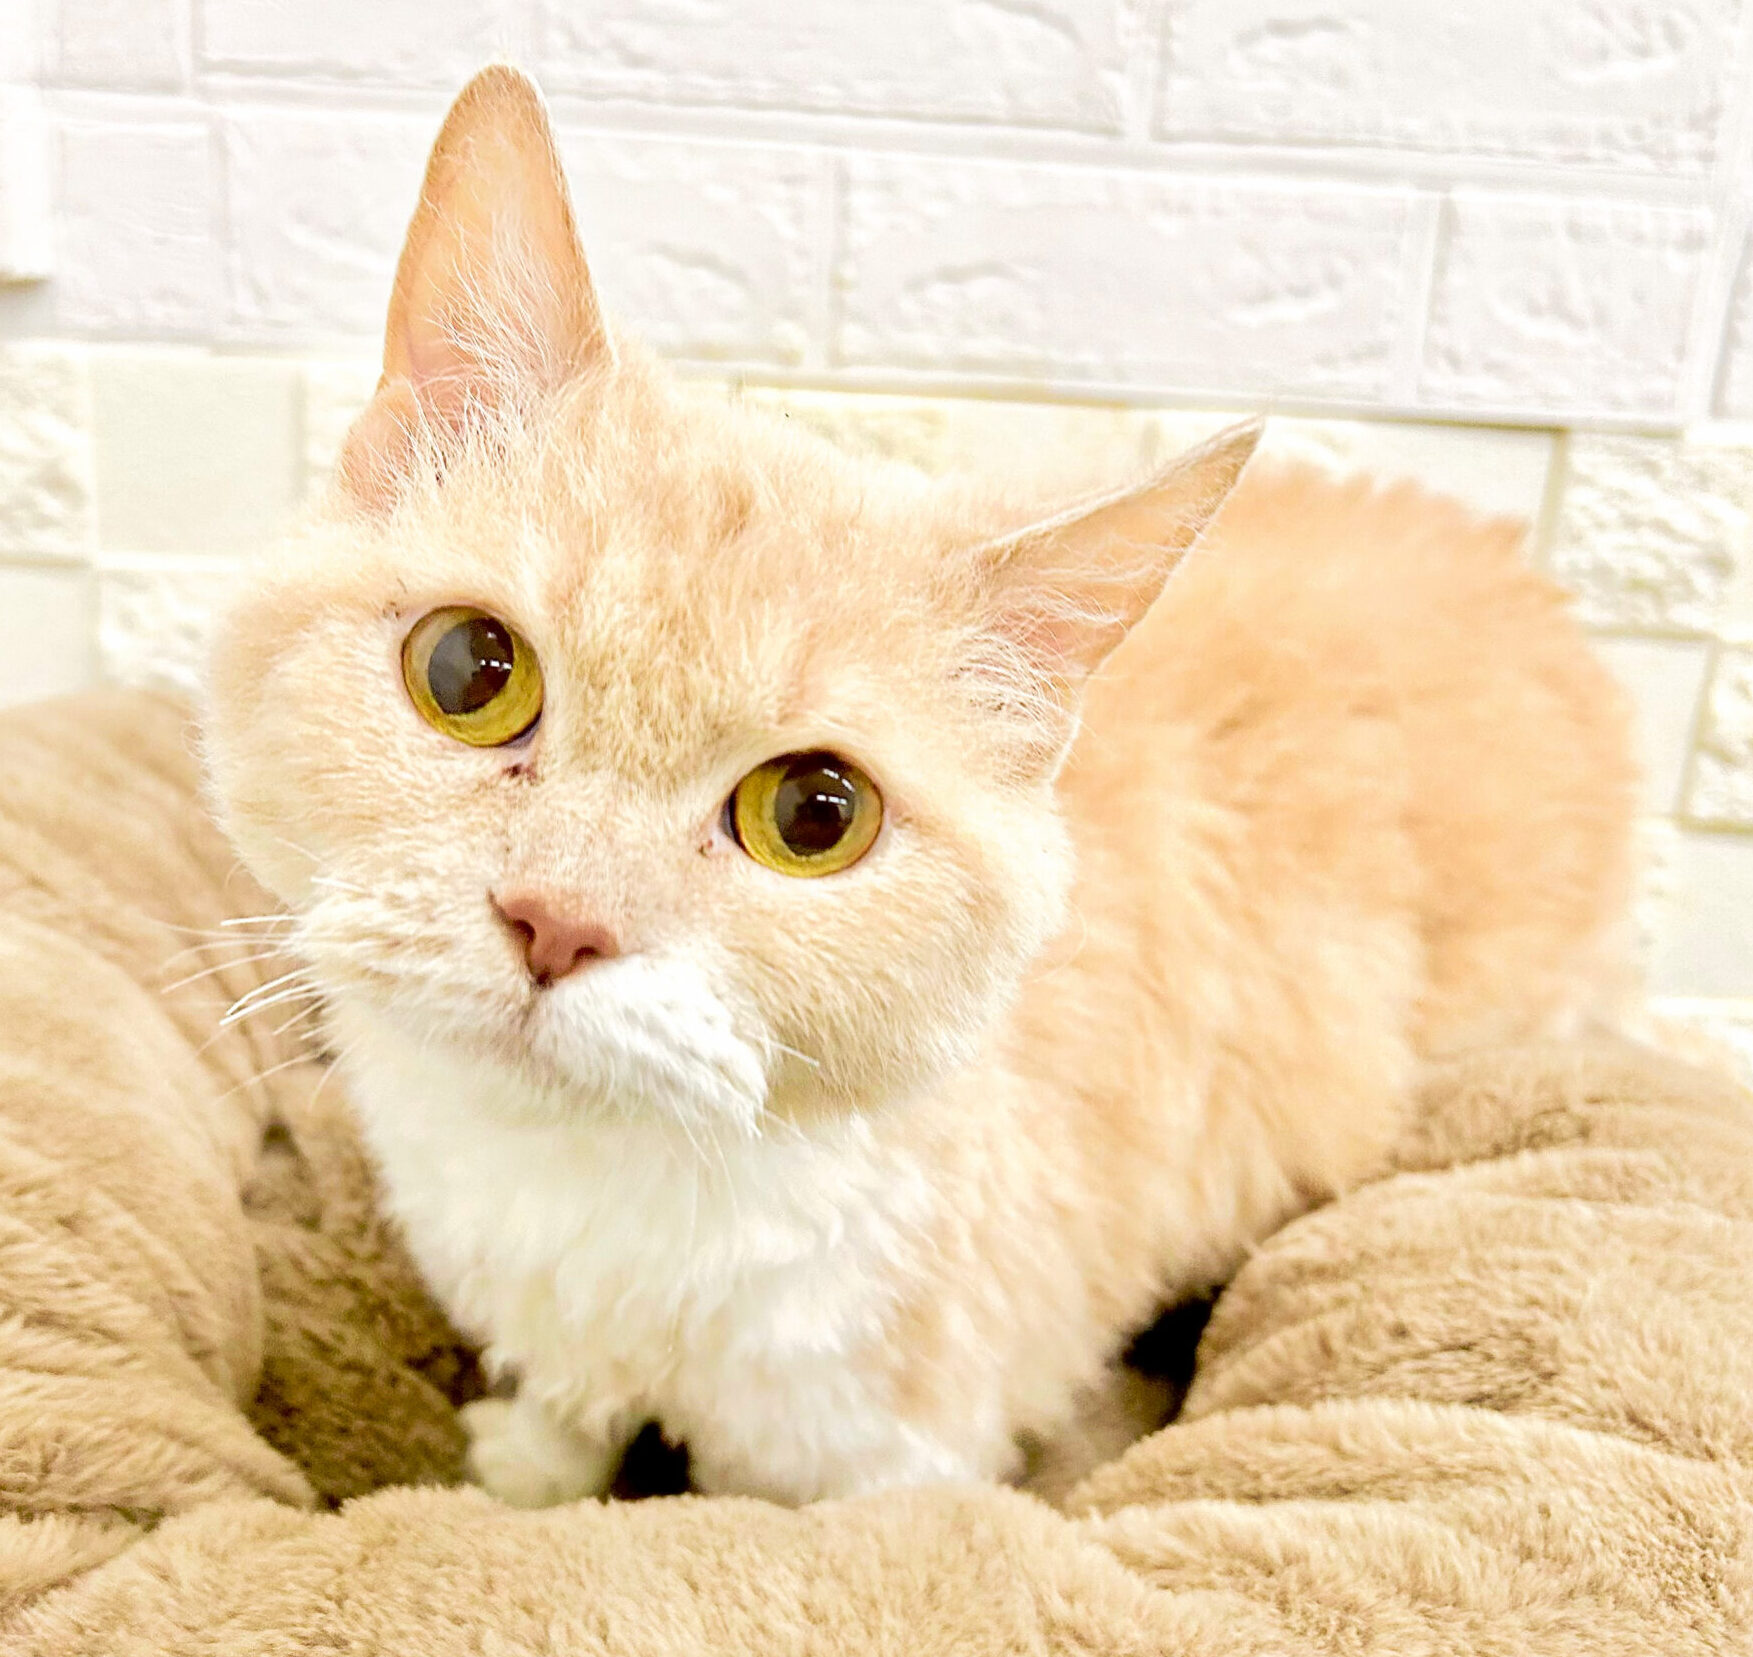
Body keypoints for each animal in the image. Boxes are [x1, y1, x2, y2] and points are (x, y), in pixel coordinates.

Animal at [203, 66, 1636, 1507]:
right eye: (469, 669)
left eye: (814, 814)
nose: (558, 921)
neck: (607, 1177)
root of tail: (1527, 577)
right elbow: (563, 1402)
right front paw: (531, 1466)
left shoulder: (888, 1448)